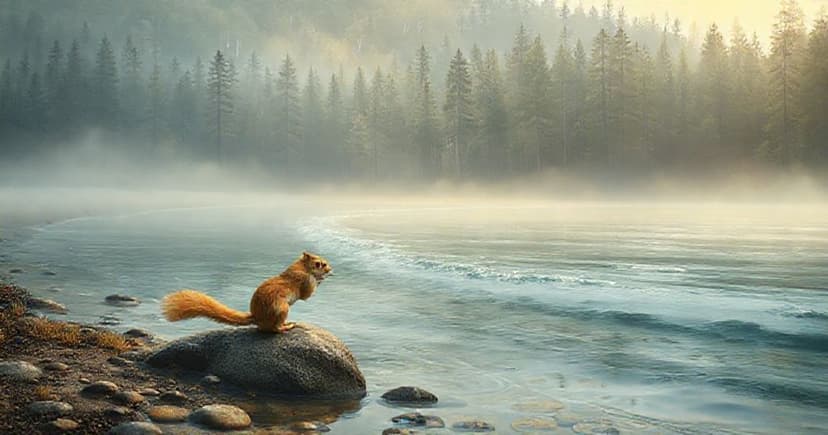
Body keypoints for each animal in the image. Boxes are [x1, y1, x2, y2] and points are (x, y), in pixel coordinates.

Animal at [161, 252, 333, 333]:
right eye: (320, 264)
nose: (330, 269)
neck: (302, 267)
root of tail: (256, 318)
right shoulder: (304, 281)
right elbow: (307, 294)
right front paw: (321, 278)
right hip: (282, 308)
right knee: (274, 330)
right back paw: (287, 326)